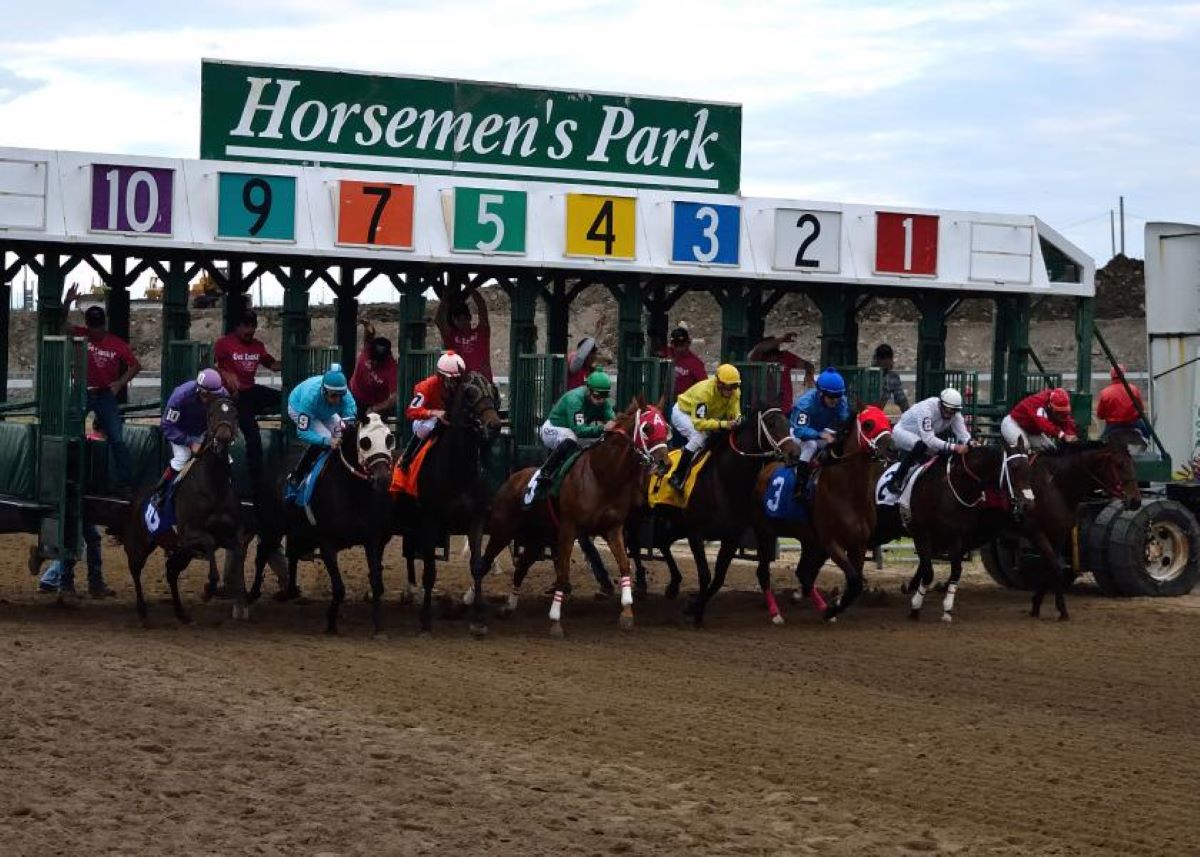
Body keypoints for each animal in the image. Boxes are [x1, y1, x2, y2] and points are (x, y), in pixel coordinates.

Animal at [117, 396, 243, 624]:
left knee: (171, 573)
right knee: (135, 569)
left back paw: (180, 612)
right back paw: (142, 611)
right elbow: (209, 541)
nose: (222, 438)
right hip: (140, 543)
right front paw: (209, 588)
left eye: (235, 414)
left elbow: (236, 548)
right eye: (211, 414)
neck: (214, 487)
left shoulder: (229, 534)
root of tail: (135, 498)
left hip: (181, 551)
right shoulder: (188, 534)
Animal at [248, 412, 398, 633]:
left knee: (292, 554)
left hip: (296, 530)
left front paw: (378, 627)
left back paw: (290, 591)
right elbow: (339, 588)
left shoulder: (371, 539)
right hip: (271, 527)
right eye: (365, 442)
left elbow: (377, 584)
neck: (352, 492)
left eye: (389, 439)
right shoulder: (327, 543)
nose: (383, 479)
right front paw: (331, 622)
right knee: (261, 556)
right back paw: (253, 593)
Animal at [393, 372, 501, 633]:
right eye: (470, 394)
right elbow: (430, 570)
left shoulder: (476, 519)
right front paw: (425, 619)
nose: (494, 425)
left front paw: (479, 617)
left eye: (493, 392)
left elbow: (477, 565)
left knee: (409, 553)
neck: (458, 470)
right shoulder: (431, 521)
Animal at [472, 396, 672, 633]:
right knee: (484, 562)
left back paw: (509, 606)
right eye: (647, 428)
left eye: (666, 427)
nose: (665, 463)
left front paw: (626, 613)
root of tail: (511, 479)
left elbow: (625, 565)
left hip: (537, 539)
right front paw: (555, 620)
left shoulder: (613, 528)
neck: (602, 477)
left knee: (520, 567)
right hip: (503, 529)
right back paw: (471, 600)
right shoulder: (569, 528)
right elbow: (563, 571)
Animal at [628, 403, 796, 624]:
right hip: (639, 515)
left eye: (787, 421)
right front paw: (697, 613)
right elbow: (705, 575)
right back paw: (640, 582)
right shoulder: (696, 533)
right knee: (634, 543)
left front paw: (693, 607)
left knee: (662, 541)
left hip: (678, 524)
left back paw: (673, 584)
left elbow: (718, 579)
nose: (795, 453)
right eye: (771, 424)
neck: (724, 481)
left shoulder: (731, 538)